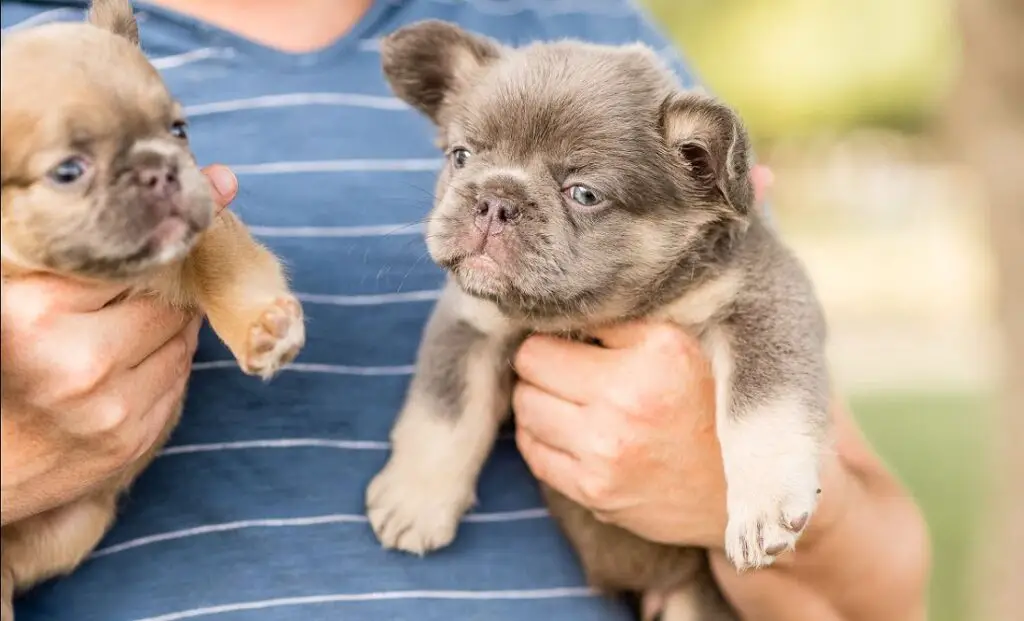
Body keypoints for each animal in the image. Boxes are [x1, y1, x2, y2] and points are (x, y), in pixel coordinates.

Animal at [0, 2, 303, 618]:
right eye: (69, 171)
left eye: (178, 131)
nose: (159, 168)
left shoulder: (201, 230)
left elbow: (224, 265)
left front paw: (265, 327)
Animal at [368, 19, 831, 621]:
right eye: (461, 157)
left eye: (584, 194)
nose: (494, 199)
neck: (595, 309)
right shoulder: (471, 322)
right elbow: (444, 412)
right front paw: (416, 496)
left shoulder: (761, 303)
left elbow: (762, 409)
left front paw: (765, 503)